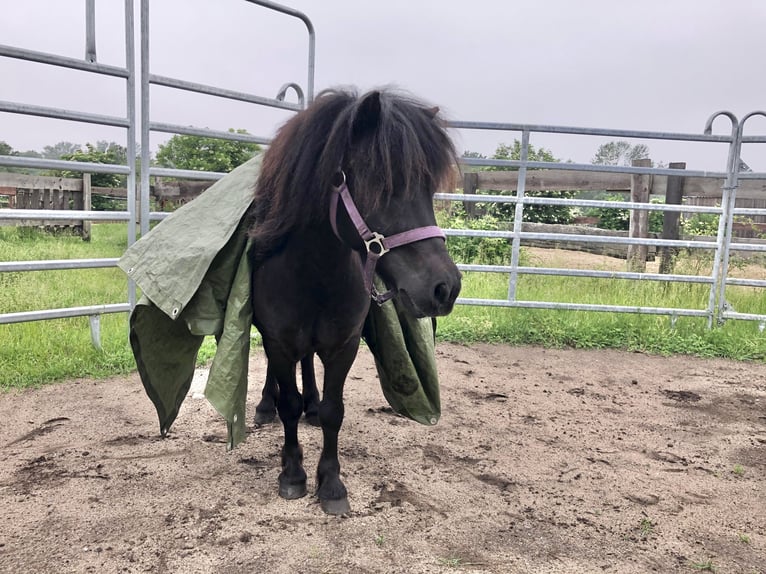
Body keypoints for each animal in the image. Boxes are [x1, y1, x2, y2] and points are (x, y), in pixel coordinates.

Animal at [249, 88, 462, 516]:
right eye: (383, 183)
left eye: (429, 187)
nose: (445, 287)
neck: (313, 274)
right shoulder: (278, 342)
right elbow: (288, 405)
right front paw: (292, 473)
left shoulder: (343, 345)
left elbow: (335, 411)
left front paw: (331, 483)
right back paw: (265, 407)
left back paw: (312, 405)